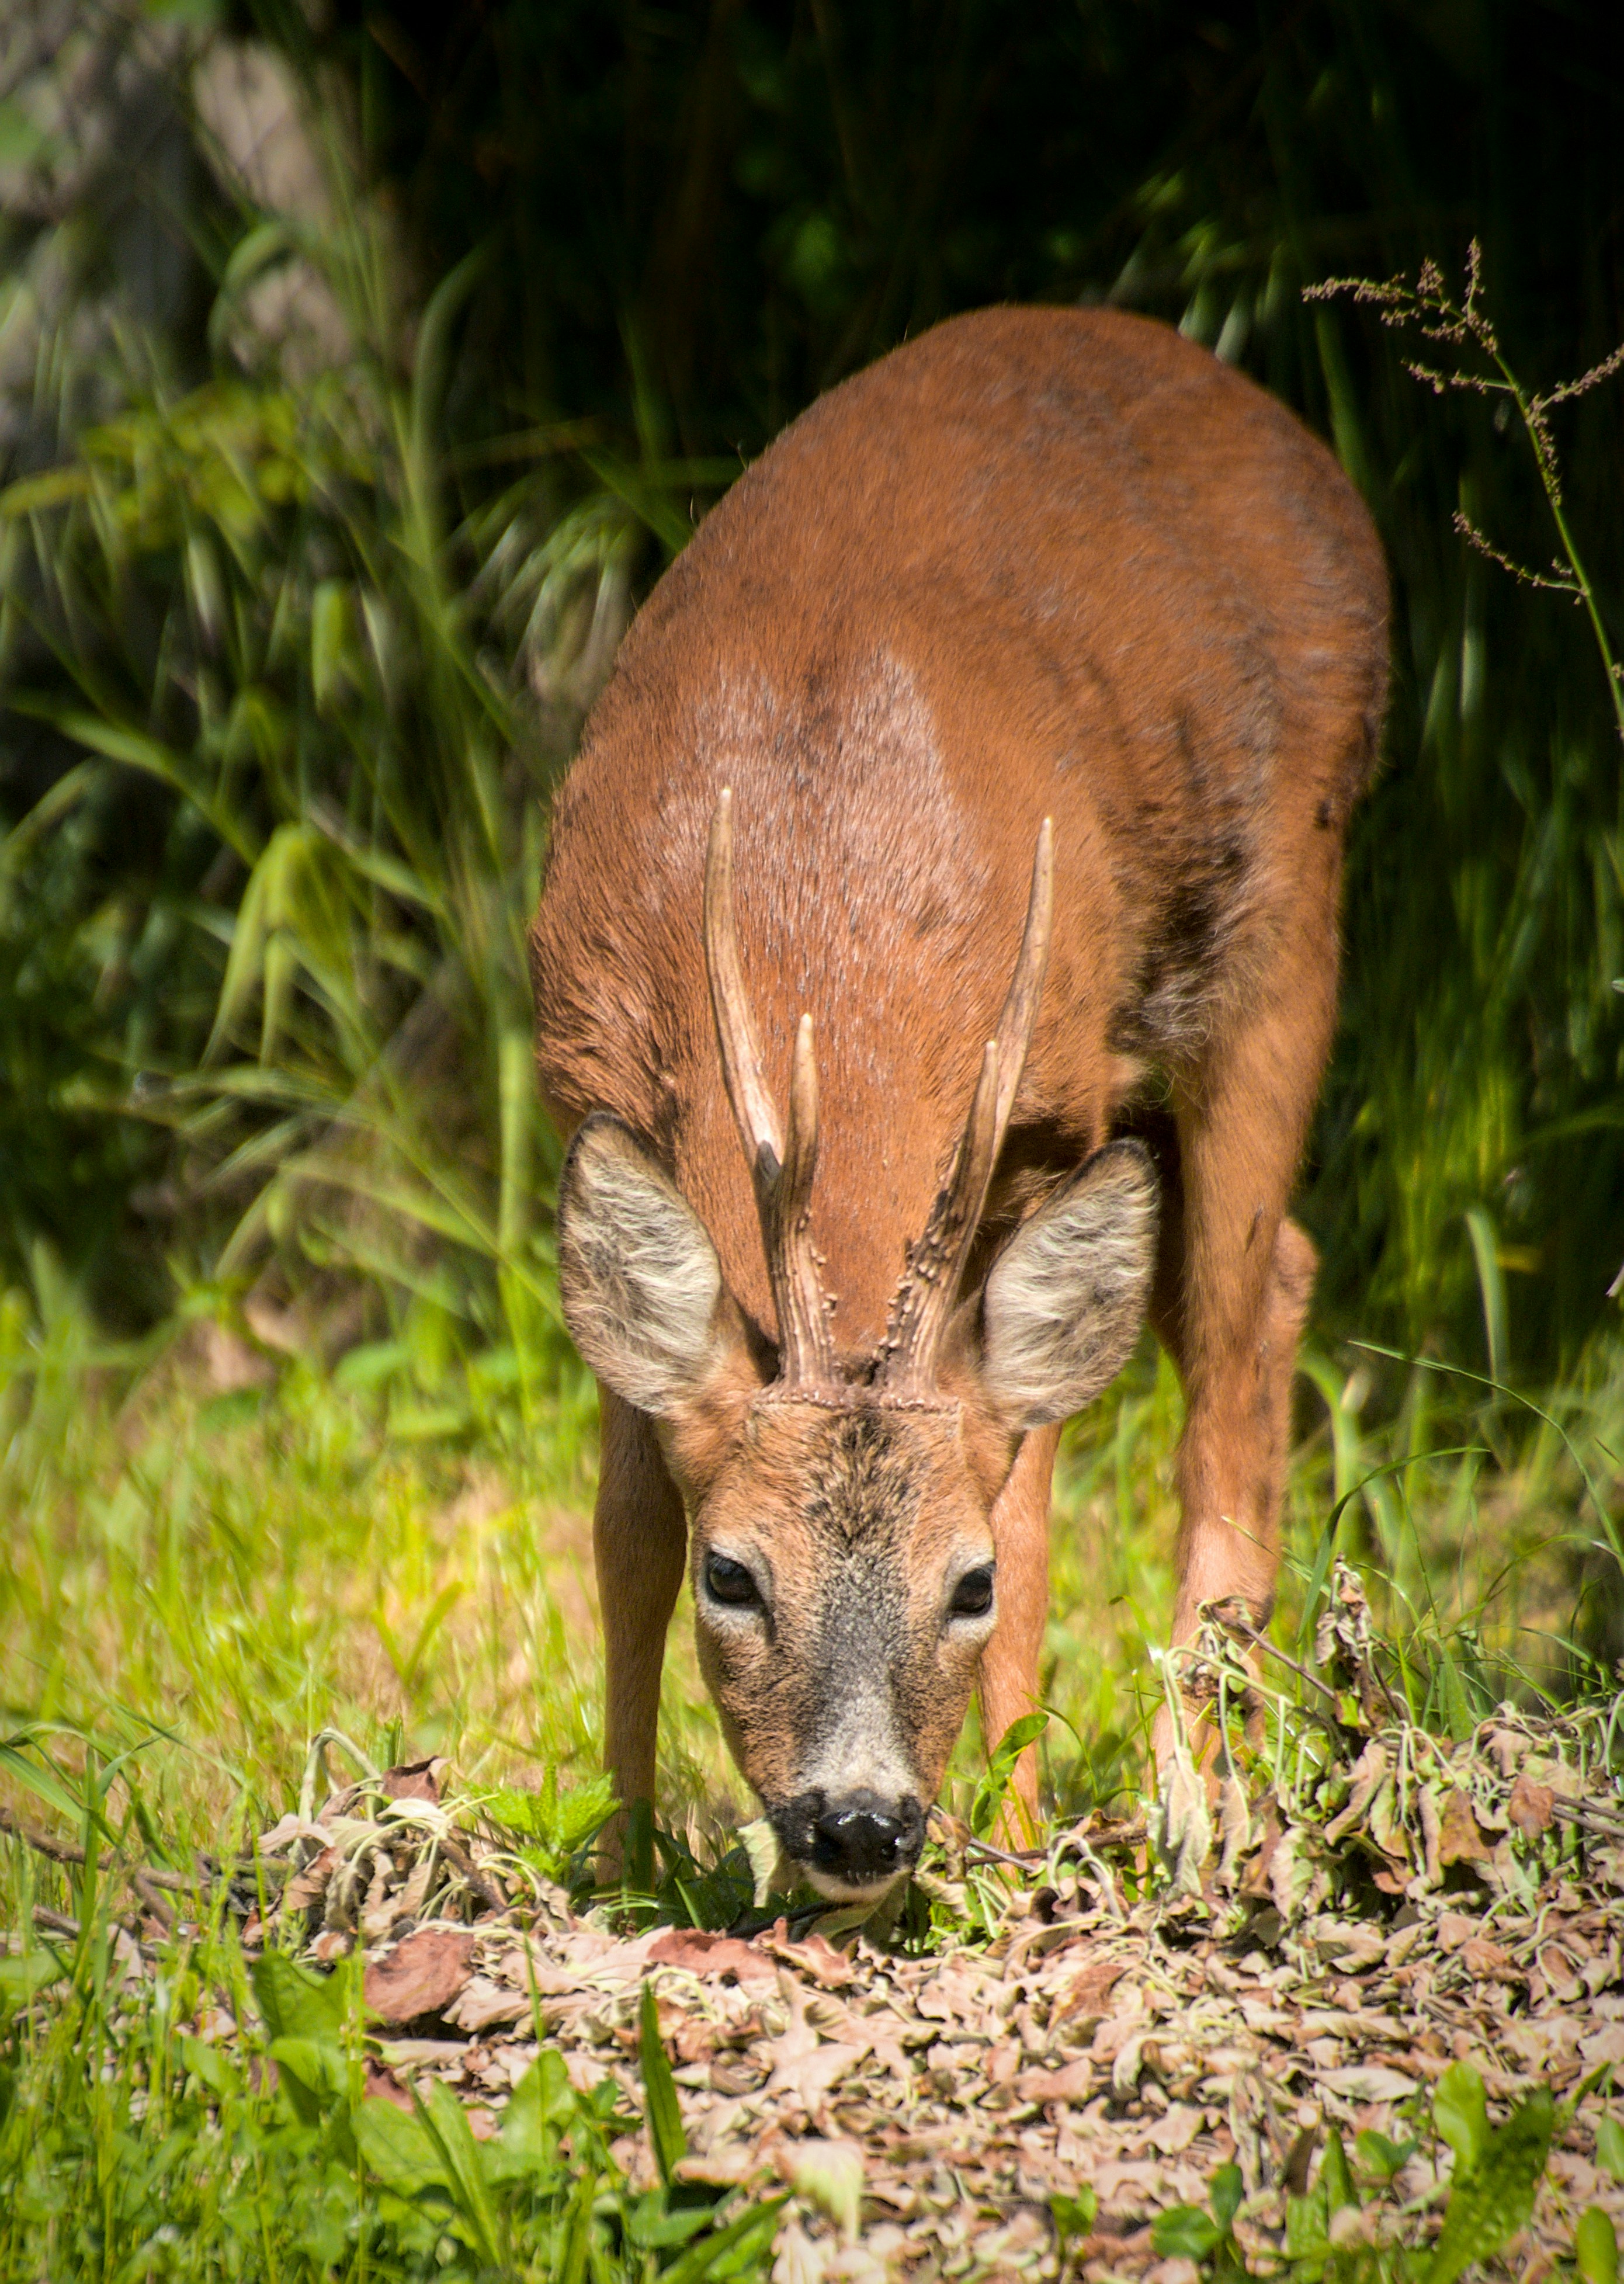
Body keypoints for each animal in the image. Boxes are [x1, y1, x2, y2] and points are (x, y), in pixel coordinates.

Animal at [529, 305, 1388, 1903]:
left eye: (963, 1583)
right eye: (734, 1573)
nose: (859, 1825)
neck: (817, 912)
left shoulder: (1044, 1106)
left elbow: (1041, 1520)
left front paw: (1015, 1845)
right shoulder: (586, 1078)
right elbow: (621, 1526)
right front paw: (615, 1864)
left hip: (1283, 916)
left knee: (1234, 1333)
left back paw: (1200, 1801)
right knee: (1266, 1279)